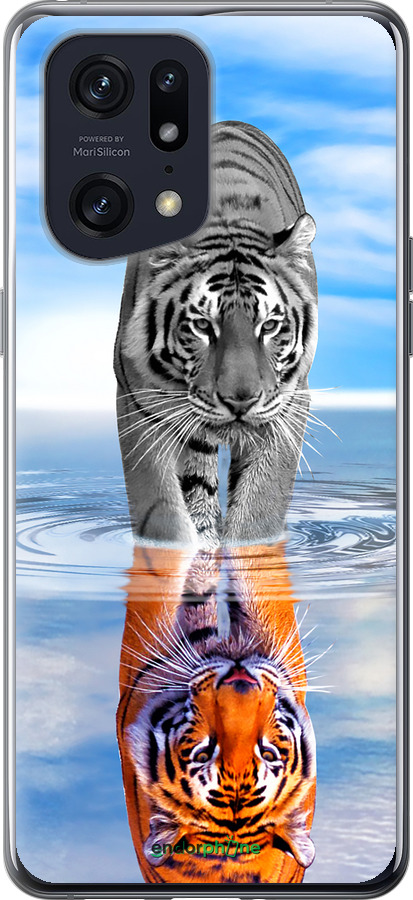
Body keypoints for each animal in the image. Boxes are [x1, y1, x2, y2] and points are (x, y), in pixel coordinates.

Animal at [114, 120, 318, 549]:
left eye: (269, 326)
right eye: (203, 326)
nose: (240, 401)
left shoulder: (288, 405)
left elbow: (259, 509)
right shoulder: (138, 402)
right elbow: (162, 512)